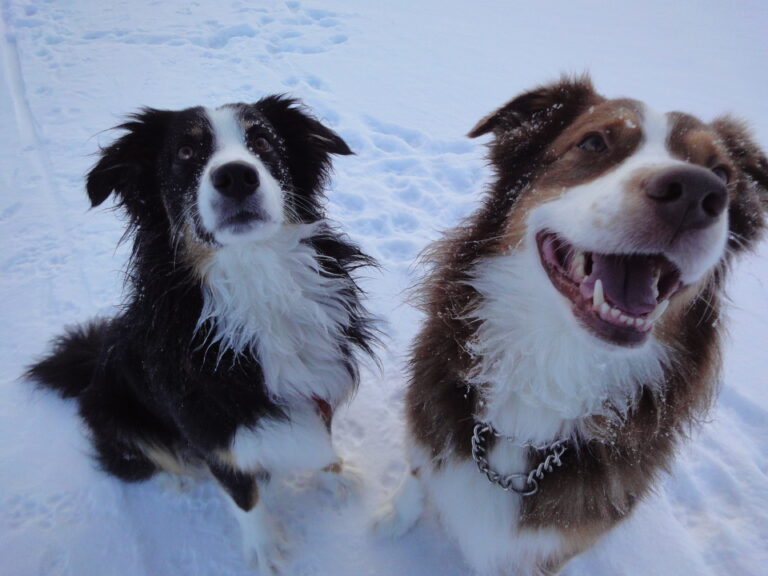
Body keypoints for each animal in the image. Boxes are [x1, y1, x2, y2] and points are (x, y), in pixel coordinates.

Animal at [28, 97, 376, 572]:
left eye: (262, 140)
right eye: (186, 152)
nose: (236, 176)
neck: (254, 280)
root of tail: (93, 361)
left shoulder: (320, 382)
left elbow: (321, 439)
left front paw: (333, 476)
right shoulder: (210, 429)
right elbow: (243, 493)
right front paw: (265, 549)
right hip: (115, 411)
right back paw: (174, 480)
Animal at [378, 77, 768, 576]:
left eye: (722, 173)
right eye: (594, 142)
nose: (696, 194)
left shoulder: (557, 545)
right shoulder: (426, 434)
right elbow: (414, 478)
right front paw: (390, 522)